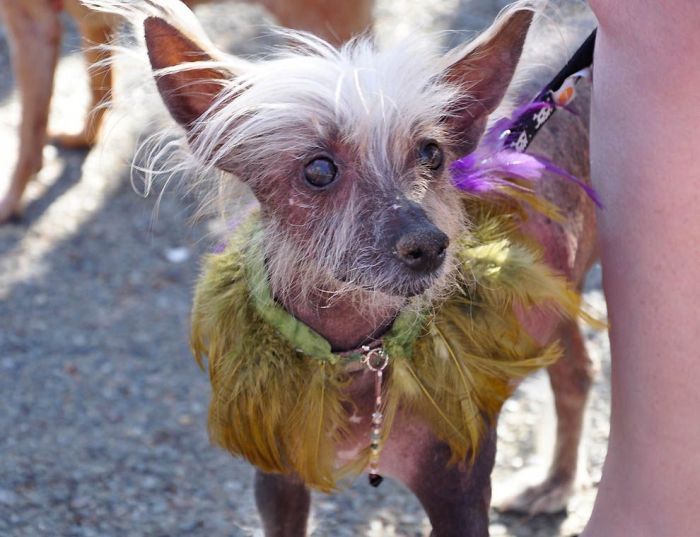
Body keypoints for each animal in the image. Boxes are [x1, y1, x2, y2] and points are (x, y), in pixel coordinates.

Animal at [0, 0, 378, 222]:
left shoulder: (30, 24)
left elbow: (28, 128)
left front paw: (10, 203)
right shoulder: (92, 26)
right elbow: (98, 90)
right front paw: (82, 139)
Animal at [85, 0, 596, 532]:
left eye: (432, 154)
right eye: (318, 170)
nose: (431, 245)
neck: (358, 354)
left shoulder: (461, 491)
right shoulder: (278, 483)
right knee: (577, 374)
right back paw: (556, 482)